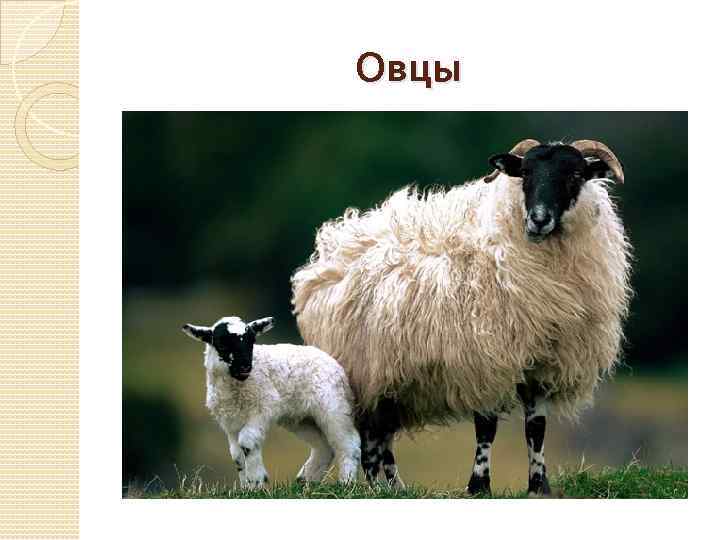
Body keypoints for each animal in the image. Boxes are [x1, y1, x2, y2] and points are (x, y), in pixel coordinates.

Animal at [182, 315, 361, 488]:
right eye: (222, 343)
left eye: (251, 341)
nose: (245, 367)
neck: (236, 388)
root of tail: (336, 365)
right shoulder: (230, 424)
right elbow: (236, 455)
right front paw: (246, 487)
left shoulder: (263, 408)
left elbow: (247, 442)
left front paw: (256, 482)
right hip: (302, 418)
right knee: (324, 447)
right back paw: (305, 481)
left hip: (334, 407)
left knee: (349, 443)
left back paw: (346, 482)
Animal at [291, 139, 632, 495]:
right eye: (525, 173)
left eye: (576, 174)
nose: (538, 219)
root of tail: (332, 248)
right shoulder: (483, 358)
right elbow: (486, 428)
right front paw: (479, 485)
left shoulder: (541, 365)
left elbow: (536, 429)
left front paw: (539, 486)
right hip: (367, 372)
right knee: (371, 439)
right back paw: (379, 489)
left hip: (393, 380)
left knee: (382, 438)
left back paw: (397, 488)